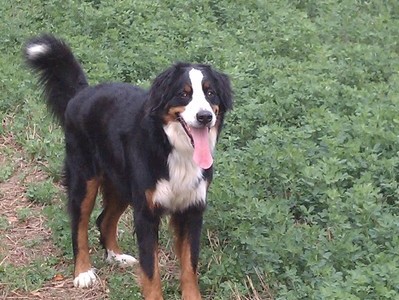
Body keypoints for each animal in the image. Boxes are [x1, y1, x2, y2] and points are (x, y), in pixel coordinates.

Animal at [23, 34, 233, 298]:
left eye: (210, 93)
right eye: (184, 94)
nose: (205, 117)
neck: (172, 148)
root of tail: (83, 92)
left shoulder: (191, 210)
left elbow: (189, 266)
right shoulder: (146, 213)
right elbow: (151, 269)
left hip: (121, 185)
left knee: (104, 220)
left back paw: (116, 256)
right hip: (84, 179)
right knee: (79, 225)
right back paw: (83, 272)